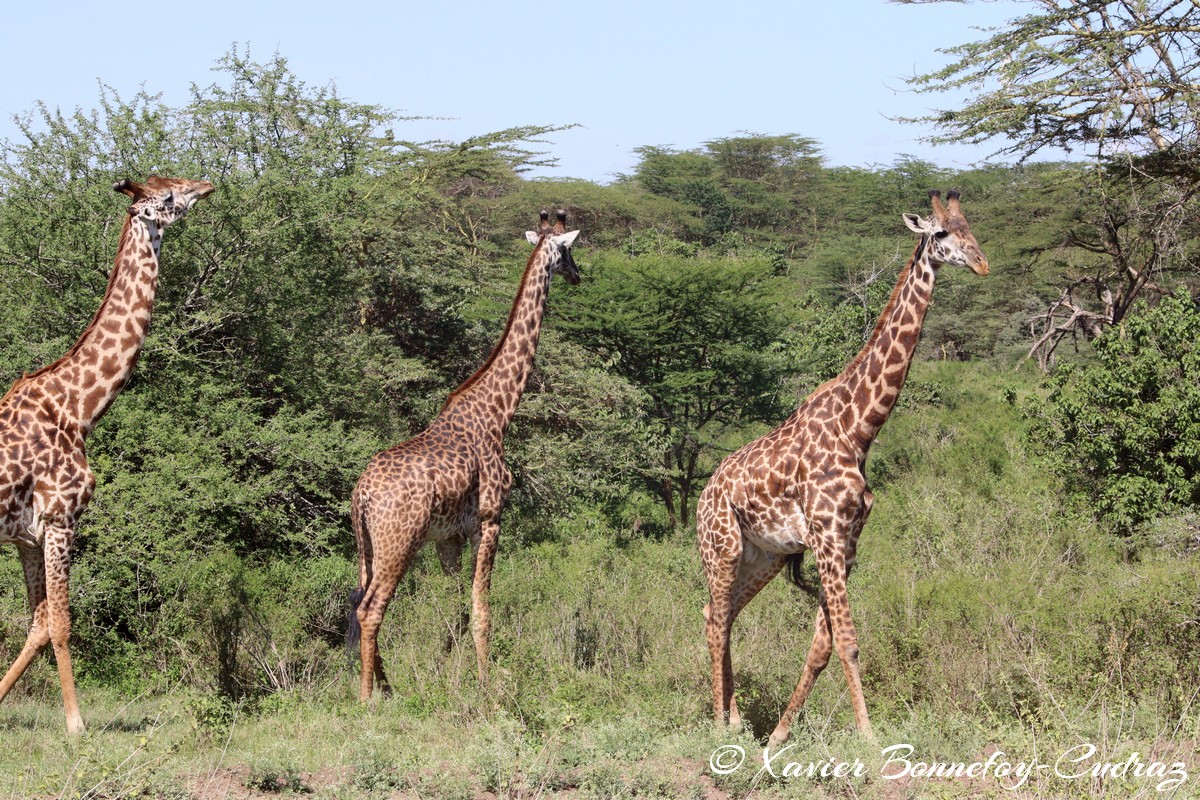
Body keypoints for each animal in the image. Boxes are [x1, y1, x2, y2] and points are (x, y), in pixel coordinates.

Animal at [0, 175, 216, 734]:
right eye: (169, 197)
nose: (206, 185)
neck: (78, 408)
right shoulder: (61, 519)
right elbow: (61, 624)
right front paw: (76, 726)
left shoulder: (27, 536)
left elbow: (37, 623)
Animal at [348, 208, 580, 700]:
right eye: (570, 250)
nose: (578, 275)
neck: (497, 412)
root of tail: (361, 495)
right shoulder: (489, 521)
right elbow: (481, 610)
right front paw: (487, 686)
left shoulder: (448, 538)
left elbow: (454, 612)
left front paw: (450, 674)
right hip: (399, 543)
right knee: (371, 609)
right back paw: (367, 697)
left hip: (367, 546)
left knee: (358, 601)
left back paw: (388, 685)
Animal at [700, 189, 988, 743]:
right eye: (942, 233)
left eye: (972, 228)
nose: (983, 263)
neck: (858, 430)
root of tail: (703, 494)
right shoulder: (829, 536)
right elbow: (850, 643)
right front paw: (871, 738)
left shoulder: (848, 541)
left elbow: (823, 646)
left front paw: (780, 734)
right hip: (720, 547)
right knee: (716, 617)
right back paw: (720, 723)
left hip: (763, 556)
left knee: (717, 613)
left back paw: (735, 718)